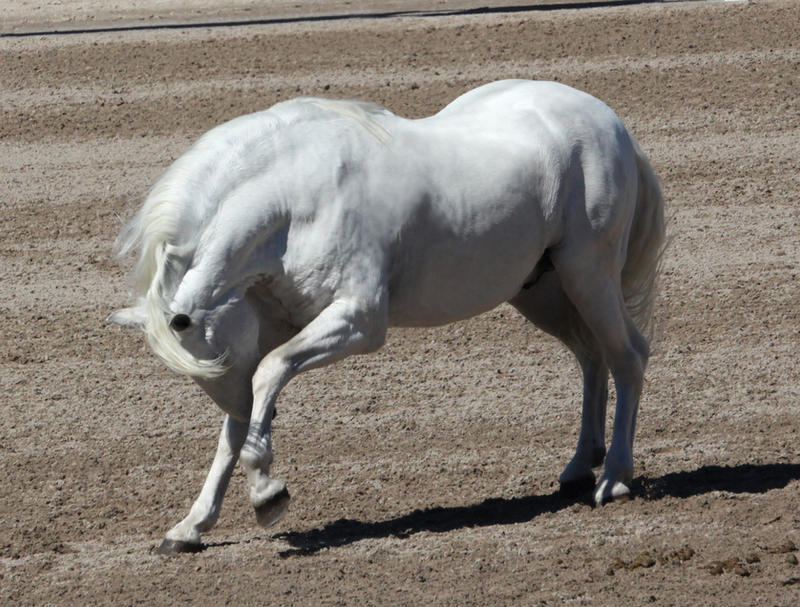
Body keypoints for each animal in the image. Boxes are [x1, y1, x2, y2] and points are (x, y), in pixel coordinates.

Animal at [109, 81, 664, 556]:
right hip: (542, 291)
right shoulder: (273, 329)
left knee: (628, 356)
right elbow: (235, 425)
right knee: (591, 356)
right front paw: (191, 526)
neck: (292, 200)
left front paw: (267, 492)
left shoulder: (357, 320)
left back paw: (614, 477)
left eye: (214, 361)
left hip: (588, 275)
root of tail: (607, 119)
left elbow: (267, 374)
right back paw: (580, 465)